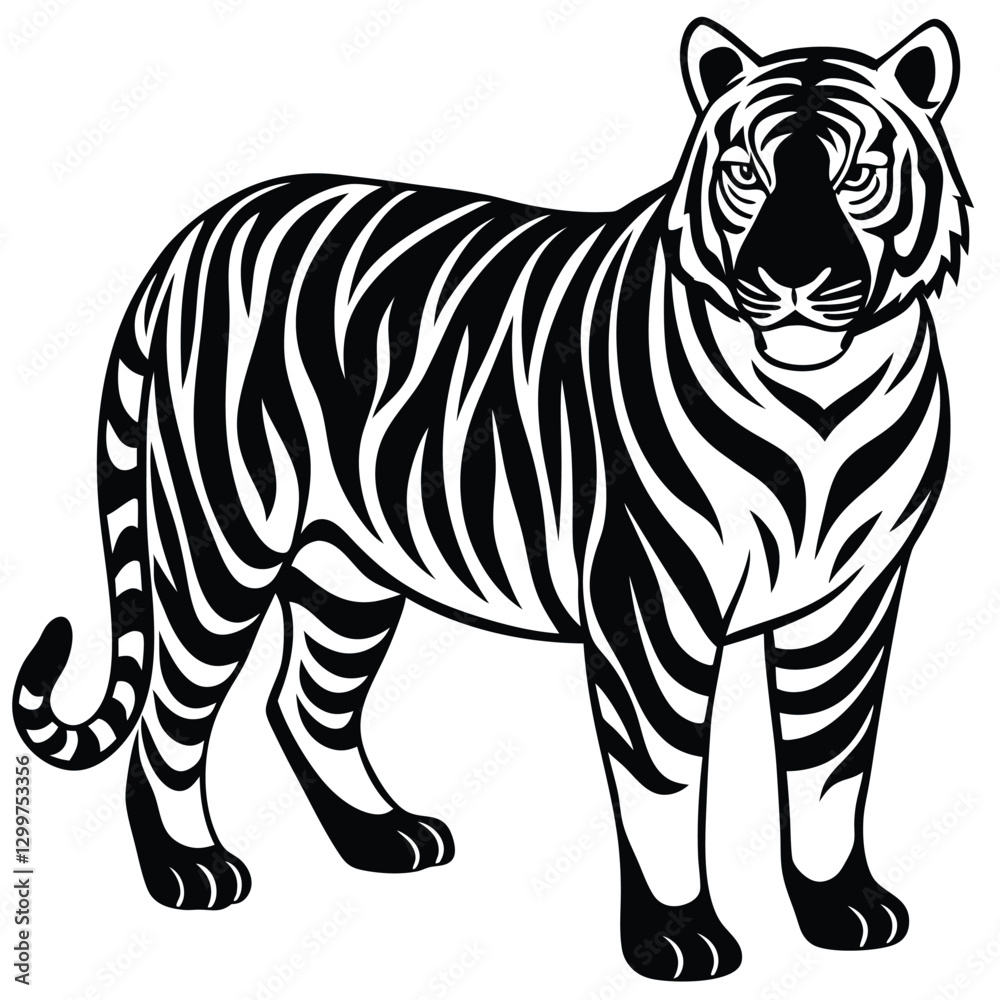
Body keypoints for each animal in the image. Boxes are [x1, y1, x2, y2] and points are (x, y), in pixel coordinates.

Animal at [12, 17, 969, 982]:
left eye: (859, 174)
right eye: (748, 174)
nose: (795, 276)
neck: (820, 399)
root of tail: (196, 231)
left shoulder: (853, 601)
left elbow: (830, 768)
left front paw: (841, 907)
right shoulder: (653, 605)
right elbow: (665, 780)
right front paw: (676, 935)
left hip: (349, 572)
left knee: (307, 703)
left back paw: (383, 836)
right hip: (223, 546)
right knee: (171, 719)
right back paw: (190, 866)